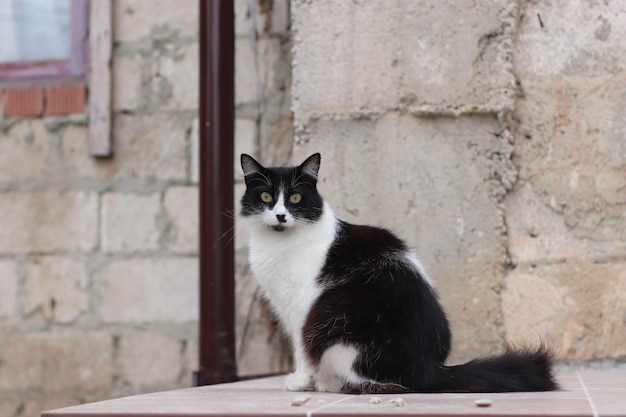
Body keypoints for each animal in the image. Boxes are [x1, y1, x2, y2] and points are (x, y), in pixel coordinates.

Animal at [239, 153, 556, 394]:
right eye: (266, 195)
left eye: (295, 198)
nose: (281, 216)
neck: (278, 244)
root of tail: (431, 369)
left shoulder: (300, 308)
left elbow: (301, 349)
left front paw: (301, 381)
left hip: (339, 331)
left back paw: (331, 383)